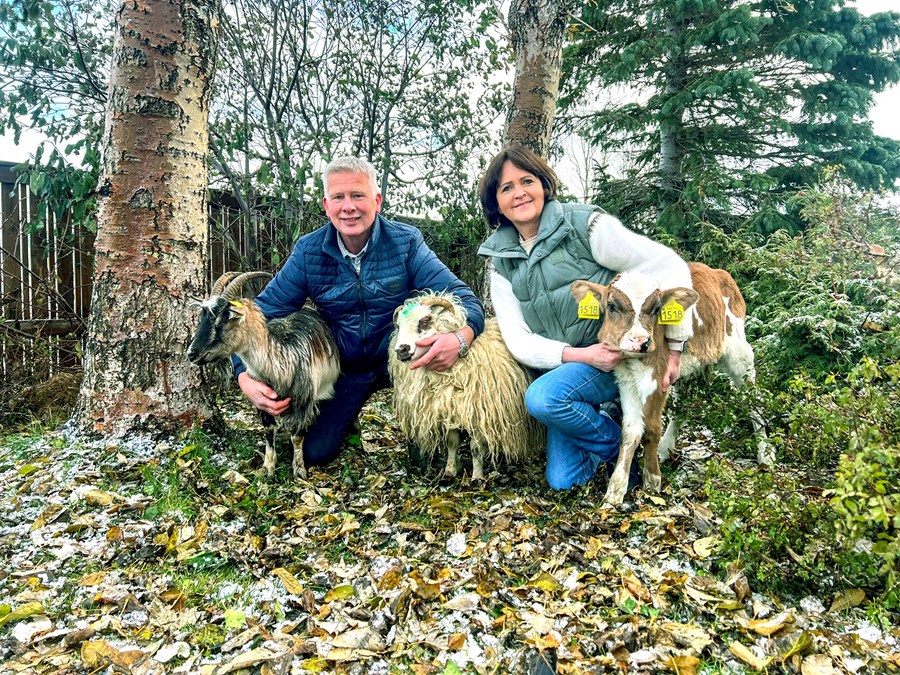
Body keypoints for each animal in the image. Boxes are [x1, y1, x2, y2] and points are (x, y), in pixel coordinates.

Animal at [186, 270, 342, 480]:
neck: (283, 363)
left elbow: (297, 437)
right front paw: (268, 468)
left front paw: (299, 471)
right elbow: (269, 430)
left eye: (223, 320)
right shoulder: (262, 399)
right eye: (202, 317)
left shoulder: (303, 402)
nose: (191, 354)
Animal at [384, 292, 540, 480]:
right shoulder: (449, 408)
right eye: (398, 325)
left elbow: (476, 448)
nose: (401, 350)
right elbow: (452, 442)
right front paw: (450, 471)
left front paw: (477, 477)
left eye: (425, 320)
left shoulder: (478, 412)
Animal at [568, 264, 772, 508]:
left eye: (657, 309)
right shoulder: (625, 378)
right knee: (682, 405)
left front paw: (652, 480)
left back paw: (765, 454)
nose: (641, 341)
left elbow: (651, 428)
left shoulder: (658, 376)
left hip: (739, 353)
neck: (636, 362)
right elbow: (630, 430)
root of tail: (718, 272)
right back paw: (666, 448)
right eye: (612, 306)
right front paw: (616, 490)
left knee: (754, 401)